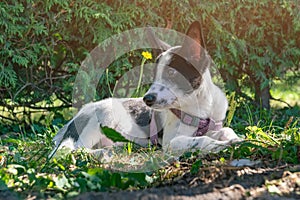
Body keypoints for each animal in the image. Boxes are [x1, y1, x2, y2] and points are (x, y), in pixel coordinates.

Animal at [50, 21, 240, 159]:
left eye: (171, 73)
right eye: (154, 75)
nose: (146, 100)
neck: (199, 108)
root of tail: (69, 124)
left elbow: (225, 130)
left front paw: (235, 138)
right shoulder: (171, 142)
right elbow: (200, 140)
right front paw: (220, 145)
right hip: (103, 116)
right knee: (70, 150)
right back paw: (101, 153)